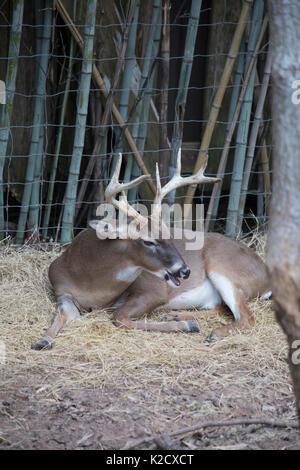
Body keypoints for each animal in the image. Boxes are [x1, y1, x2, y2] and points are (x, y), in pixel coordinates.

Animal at [31, 152, 270, 350]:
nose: (185, 271)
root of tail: (266, 274)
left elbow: (120, 317)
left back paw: (212, 332)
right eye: (148, 241)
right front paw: (43, 340)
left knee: (246, 317)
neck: (93, 285)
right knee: (223, 308)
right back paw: (174, 316)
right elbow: (60, 315)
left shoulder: (154, 291)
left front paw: (188, 325)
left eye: (169, 234)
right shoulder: (63, 292)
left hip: (225, 269)